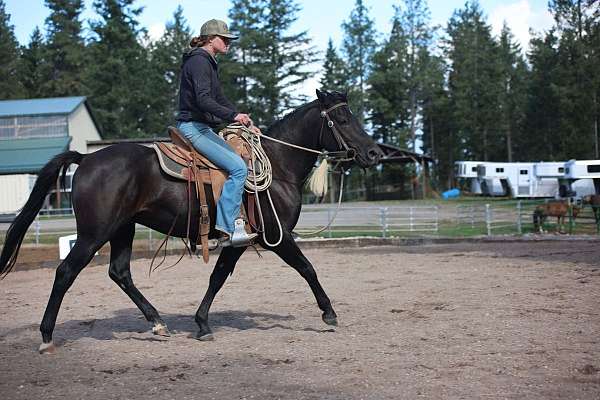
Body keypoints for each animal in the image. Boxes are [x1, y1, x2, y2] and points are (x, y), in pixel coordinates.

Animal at [0, 90, 384, 354]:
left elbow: (218, 276)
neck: (278, 163)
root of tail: (86, 158)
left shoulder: (239, 241)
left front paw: (201, 323)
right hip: (94, 233)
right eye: (344, 119)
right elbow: (307, 268)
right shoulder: (277, 235)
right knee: (66, 272)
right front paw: (329, 313)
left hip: (122, 229)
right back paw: (47, 336)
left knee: (120, 272)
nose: (374, 153)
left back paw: (157, 323)